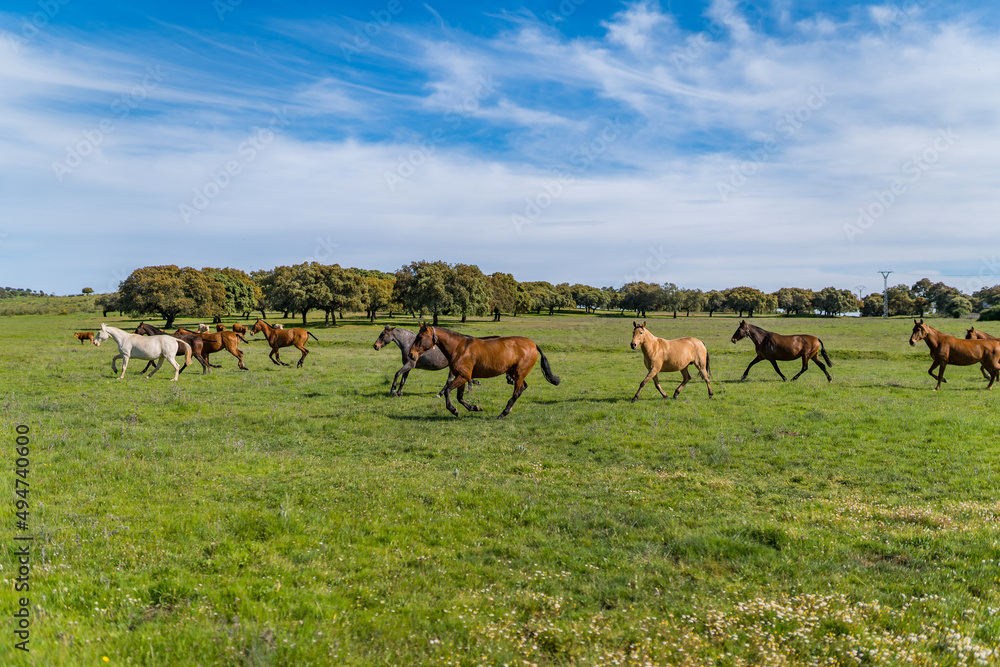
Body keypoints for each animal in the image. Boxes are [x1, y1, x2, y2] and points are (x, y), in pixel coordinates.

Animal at [408, 323, 560, 419]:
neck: (459, 348)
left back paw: (503, 414)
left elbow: (447, 391)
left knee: (517, 392)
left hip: (519, 373)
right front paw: (475, 407)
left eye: (420, 338)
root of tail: (533, 344)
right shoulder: (462, 377)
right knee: (523, 387)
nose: (411, 354)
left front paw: (453, 410)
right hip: (514, 372)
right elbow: (460, 397)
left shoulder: (463, 376)